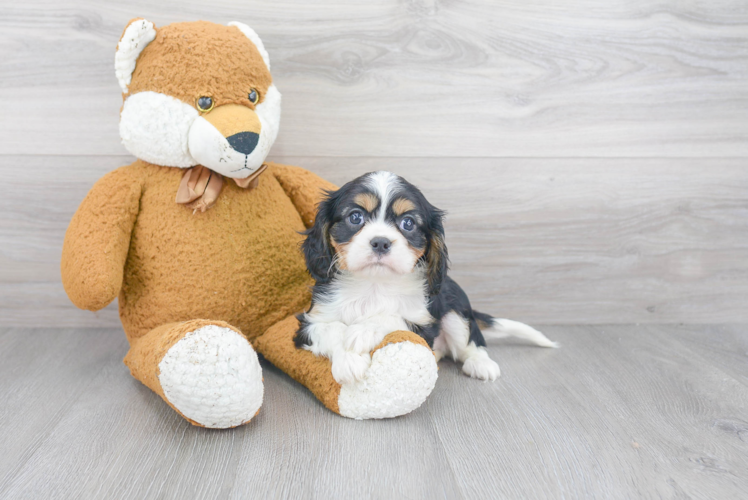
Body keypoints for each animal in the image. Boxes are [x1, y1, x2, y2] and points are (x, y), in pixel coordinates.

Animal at [296, 170, 560, 384]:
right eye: (355, 217)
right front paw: (348, 362)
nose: (380, 242)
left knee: (472, 342)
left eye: (408, 223)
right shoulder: (309, 323)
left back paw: (481, 363)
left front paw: (363, 331)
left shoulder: (423, 324)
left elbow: (391, 318)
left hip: (456, 311)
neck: (374, 284)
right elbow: (330, 330)